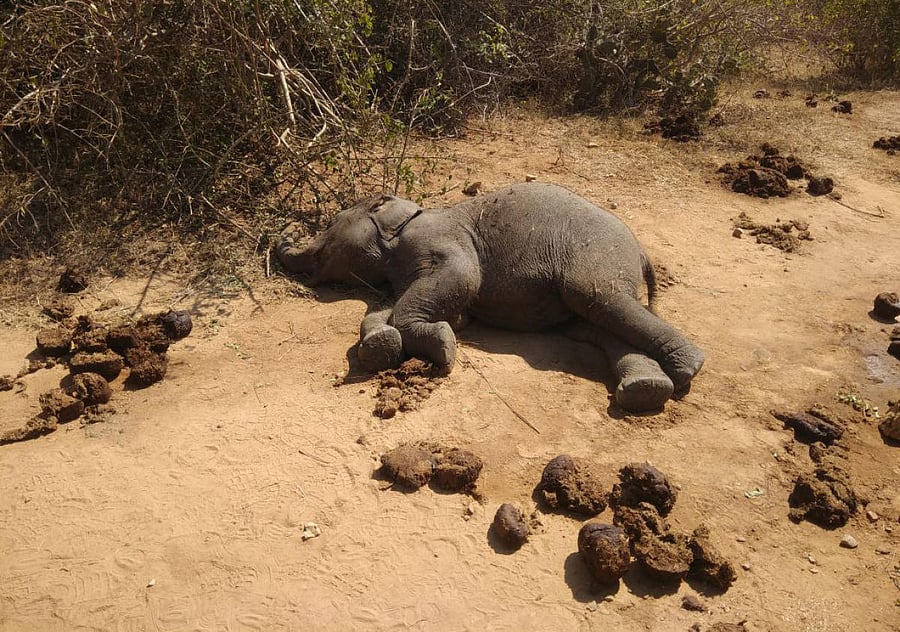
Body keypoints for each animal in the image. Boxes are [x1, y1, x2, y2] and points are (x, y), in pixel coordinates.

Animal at [277, 182, 704, 412]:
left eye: (330, 226)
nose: (284, 235)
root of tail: (642, 253)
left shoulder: (437, 238)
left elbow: (461, 279)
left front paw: (442, 347)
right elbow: (394, 305)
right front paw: (382, 345)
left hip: (596, 258)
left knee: (599, 300)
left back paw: (686, 368)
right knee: (596, 325)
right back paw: (646, 390)